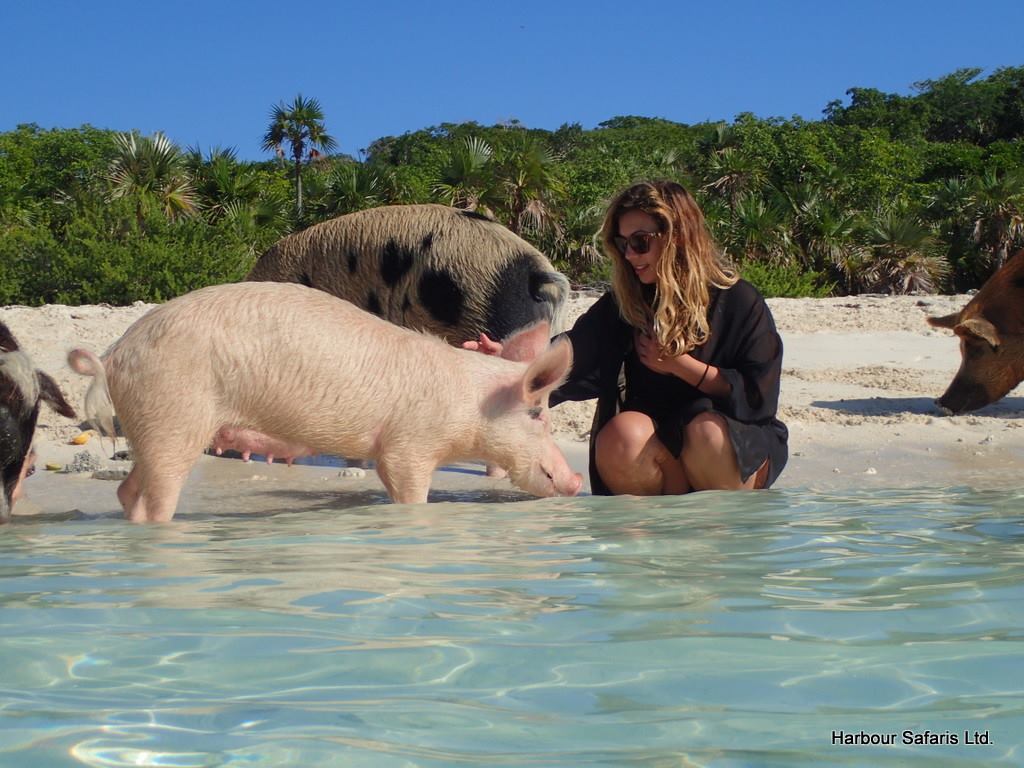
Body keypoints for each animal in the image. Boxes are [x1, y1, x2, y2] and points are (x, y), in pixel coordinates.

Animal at [70, 280, 585, 520]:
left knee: (127, 489)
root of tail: (114, 354)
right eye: (538, 414)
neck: (466, 402)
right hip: (173, 413)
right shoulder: (409, 445)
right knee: (157, 497)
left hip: (152, 425)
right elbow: (410, 488)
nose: (577, 480)